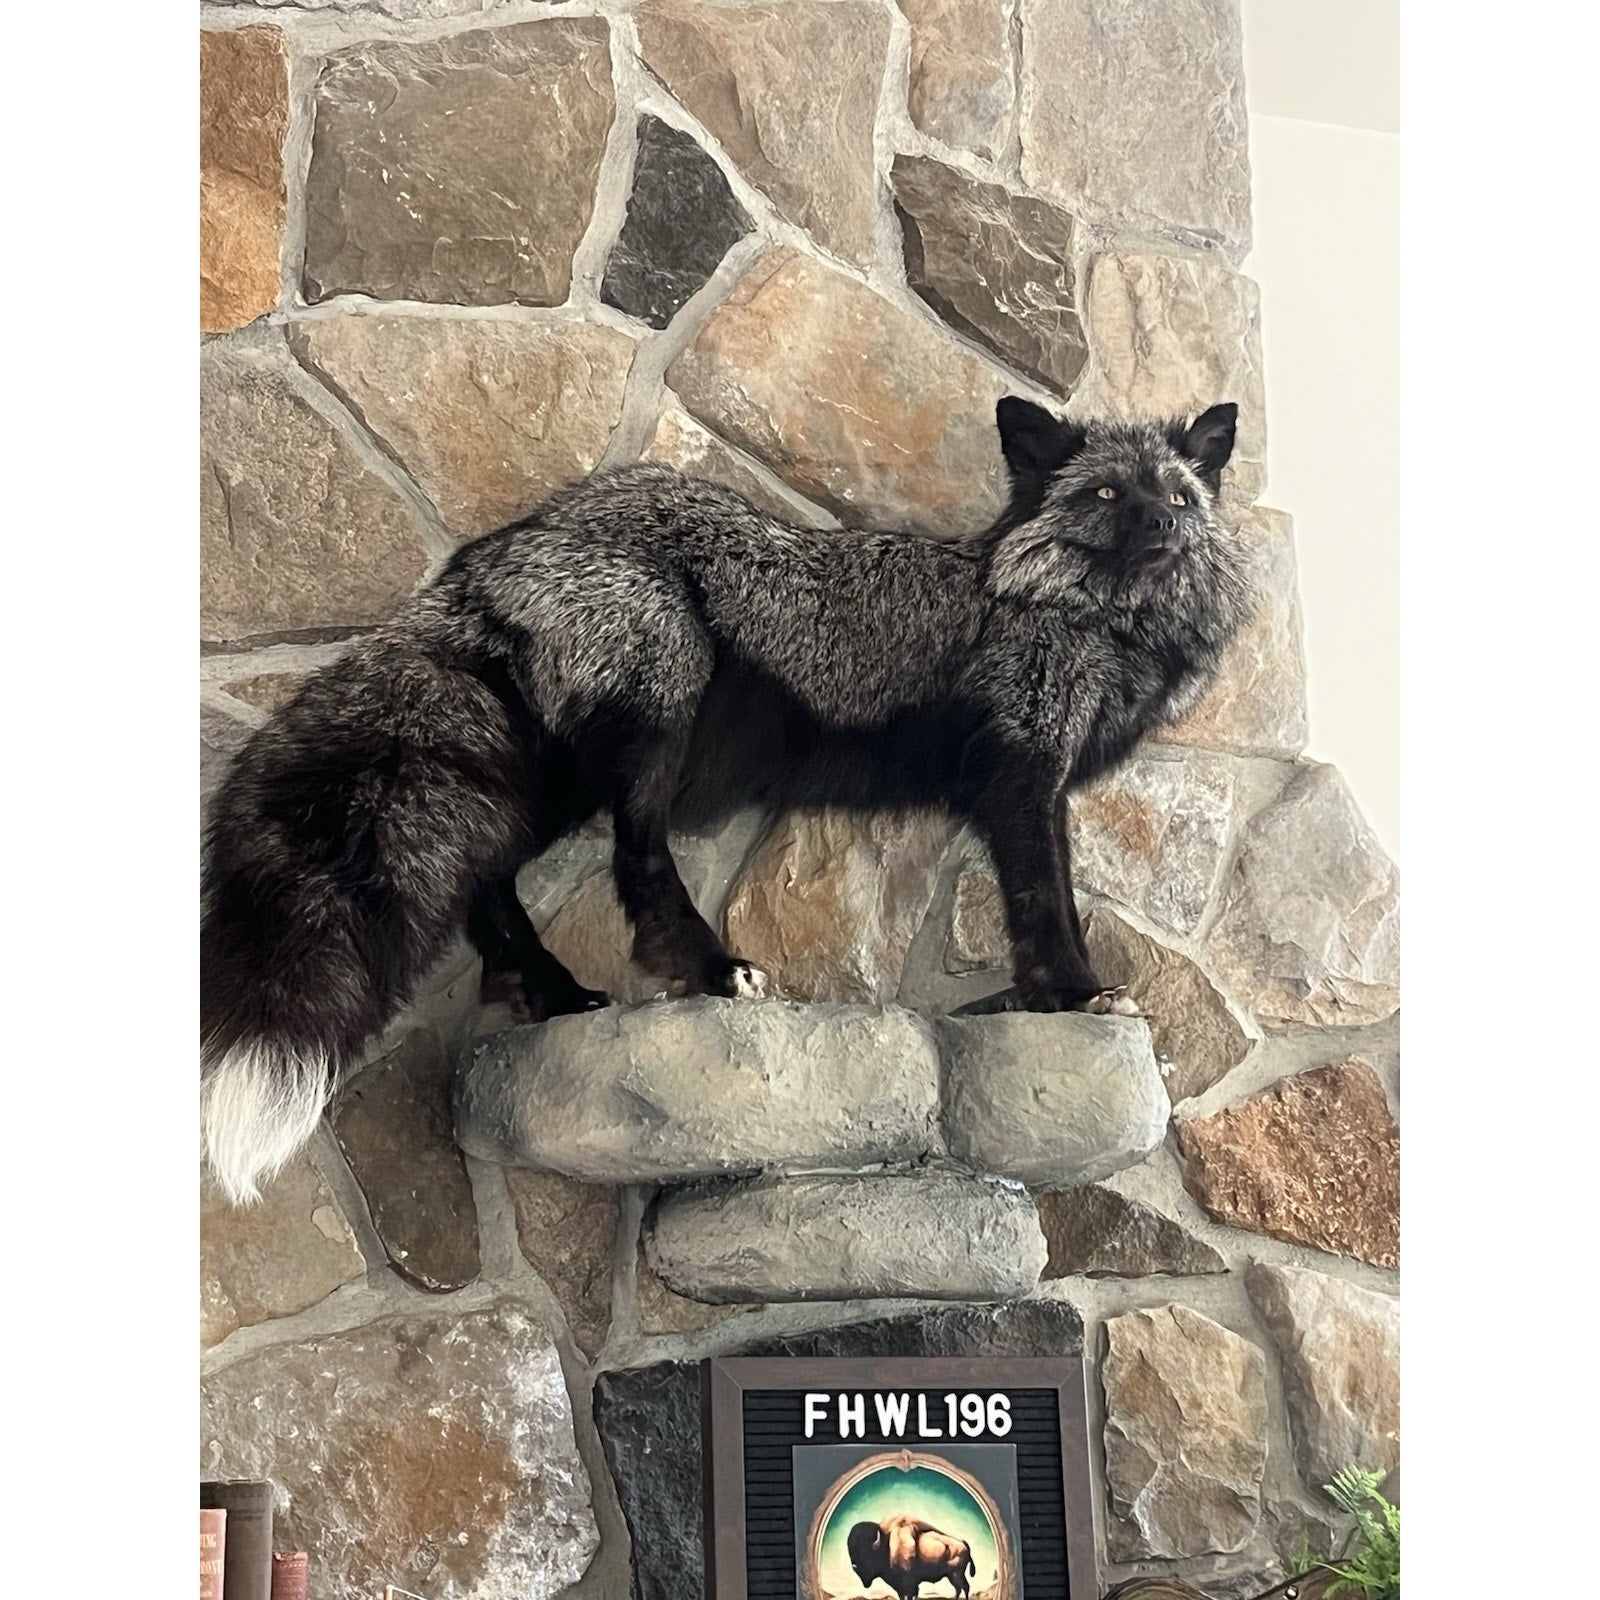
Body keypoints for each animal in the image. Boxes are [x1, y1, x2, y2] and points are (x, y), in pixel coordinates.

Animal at [201, 397, 1250, 1203]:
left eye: (1178, 495)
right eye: (1106, 494)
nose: (1167, 527)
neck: (1097, 625)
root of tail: (495, 546)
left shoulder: (1039, 777)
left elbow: (1047, 900)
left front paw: (1049, 996)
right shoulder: (1024, 770)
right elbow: (1046, 902)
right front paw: (1073, 994)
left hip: (554, 779)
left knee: (490, 882)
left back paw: (553, 993)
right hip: (658, 717)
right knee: (634, 862)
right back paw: (705, 969)